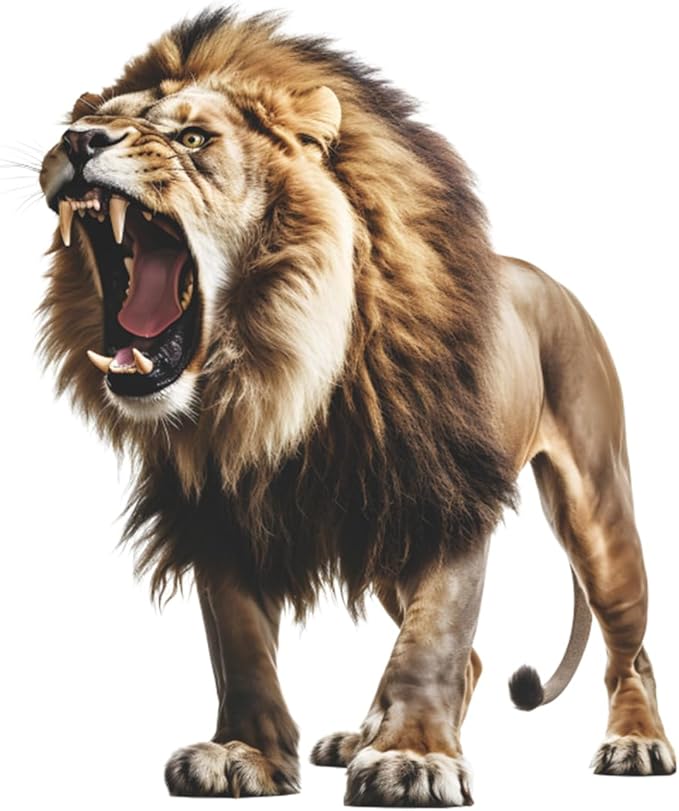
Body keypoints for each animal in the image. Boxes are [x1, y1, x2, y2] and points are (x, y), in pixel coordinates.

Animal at [37, 7, 675, 806]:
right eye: (88, 122)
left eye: (193, 139)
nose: (78, 141)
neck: (282, 375)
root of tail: (547, 280)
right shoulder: (218, 509)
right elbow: (241, 646)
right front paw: (245, 752)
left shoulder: (450, 495)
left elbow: (433, 640)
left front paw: (413, 758)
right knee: (475, 661)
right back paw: (358, 733)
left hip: (598, 512)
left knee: (629, 648)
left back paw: (637, 741)